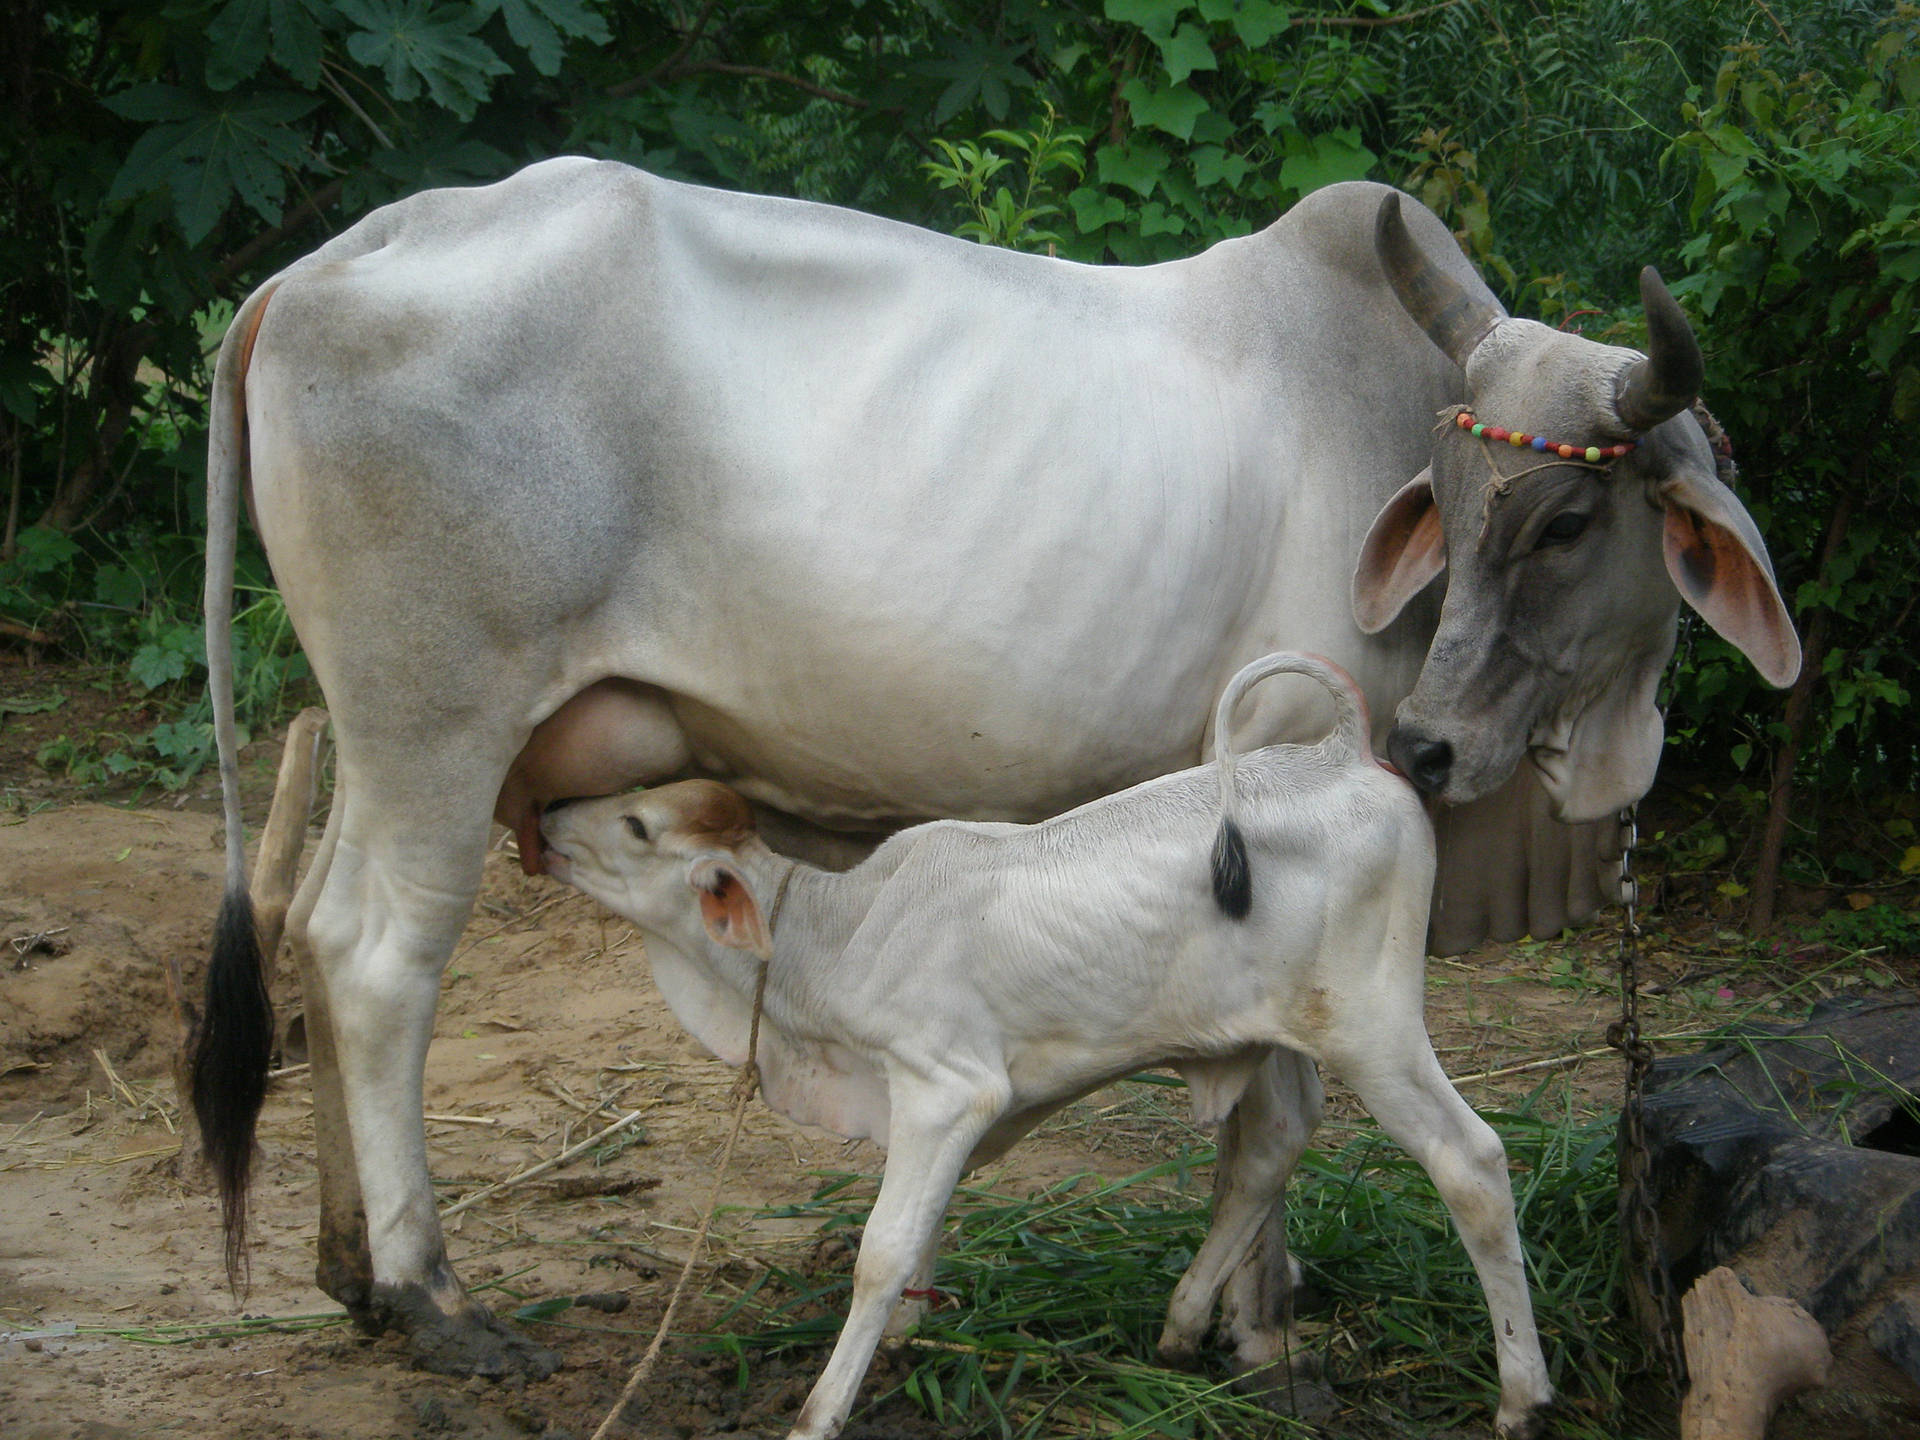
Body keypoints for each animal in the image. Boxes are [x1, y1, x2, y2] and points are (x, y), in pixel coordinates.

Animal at [541, 656, 1559, 1440]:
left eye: (635, 826)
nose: (547, 820)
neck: (834, 930)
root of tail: (1341, 751)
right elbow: (921, 1235)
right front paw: (906, 1339)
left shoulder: (947, 1088)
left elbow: (883, 1246)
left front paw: (822, 1408)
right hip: (1278, 1032)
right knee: (1271, 1145)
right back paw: (1184, 1323)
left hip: (1374, 1029)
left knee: (1470, 1164)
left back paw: (1522, 1394)